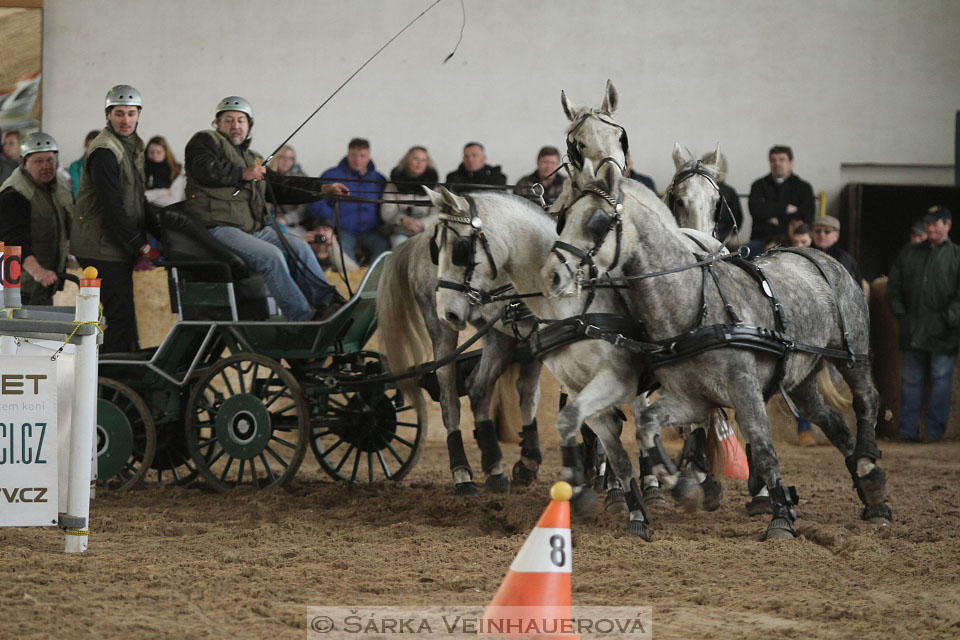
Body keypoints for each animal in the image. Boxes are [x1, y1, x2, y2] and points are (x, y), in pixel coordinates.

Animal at [544, 160, 896, 540]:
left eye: (597, 221)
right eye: (563, 217)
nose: (552, 275)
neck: (693, 306)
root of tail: (822, 255)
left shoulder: (744, 389)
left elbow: (763, 447)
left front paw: (781, 517)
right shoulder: (689, 398)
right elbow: (647, 425)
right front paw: (681, 485)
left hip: (852, 354)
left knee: (866, 400)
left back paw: (868, 465)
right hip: (802, 378)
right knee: (833, 424)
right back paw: (871, 493)